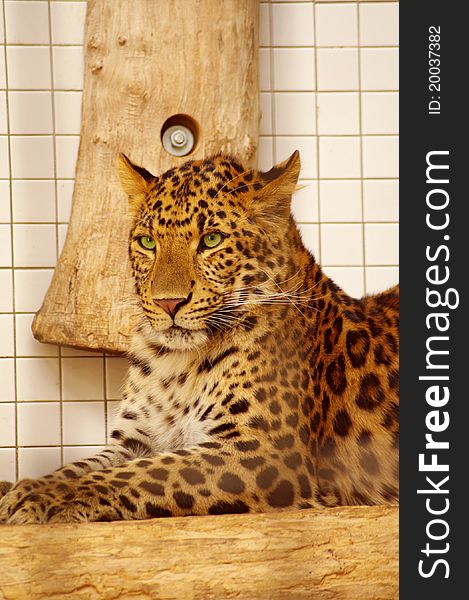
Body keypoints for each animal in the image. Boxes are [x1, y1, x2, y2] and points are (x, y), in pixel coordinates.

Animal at [0, 150, 398, 524]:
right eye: (148, 242)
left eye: (211, 240)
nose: (168, 302)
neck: (176, 364)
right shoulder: (136, 440)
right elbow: (82, 467)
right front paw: (24, 487)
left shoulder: (265, 451)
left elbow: (145, 474)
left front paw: (43, 497)